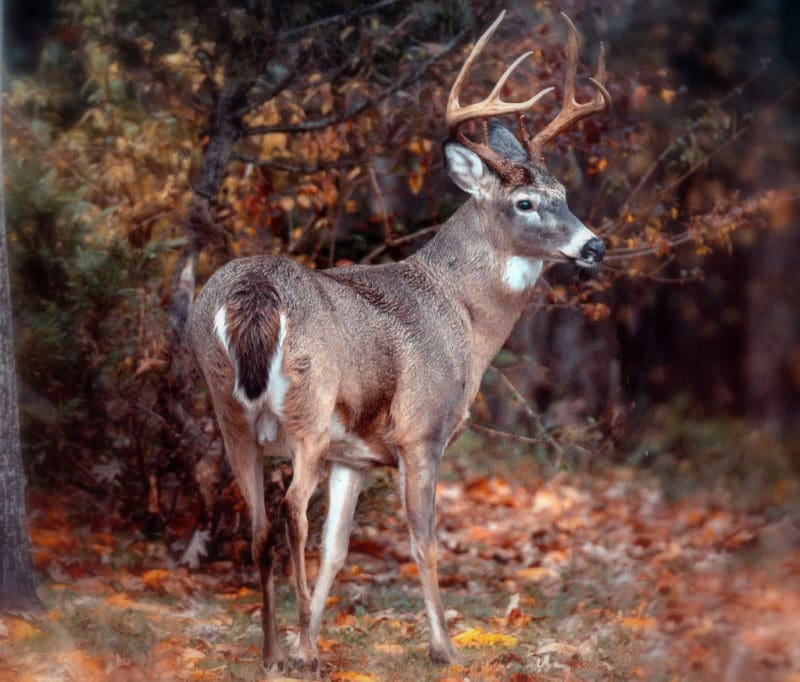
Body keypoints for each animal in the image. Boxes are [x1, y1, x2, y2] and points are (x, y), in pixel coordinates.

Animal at [186, 9, 610, 674]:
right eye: (525, 202)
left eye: (565, 195)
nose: (595, 246)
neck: (463, 318)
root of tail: (255, 292)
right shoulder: (421, 431)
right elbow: (423, 540)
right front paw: (444, 648)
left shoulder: (354, 456)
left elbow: (338, 550)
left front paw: (309, 639)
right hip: (307, 408)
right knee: (290, 512)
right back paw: (300, 654)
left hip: (228, 412)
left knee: (258, 526)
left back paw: (275, 653)